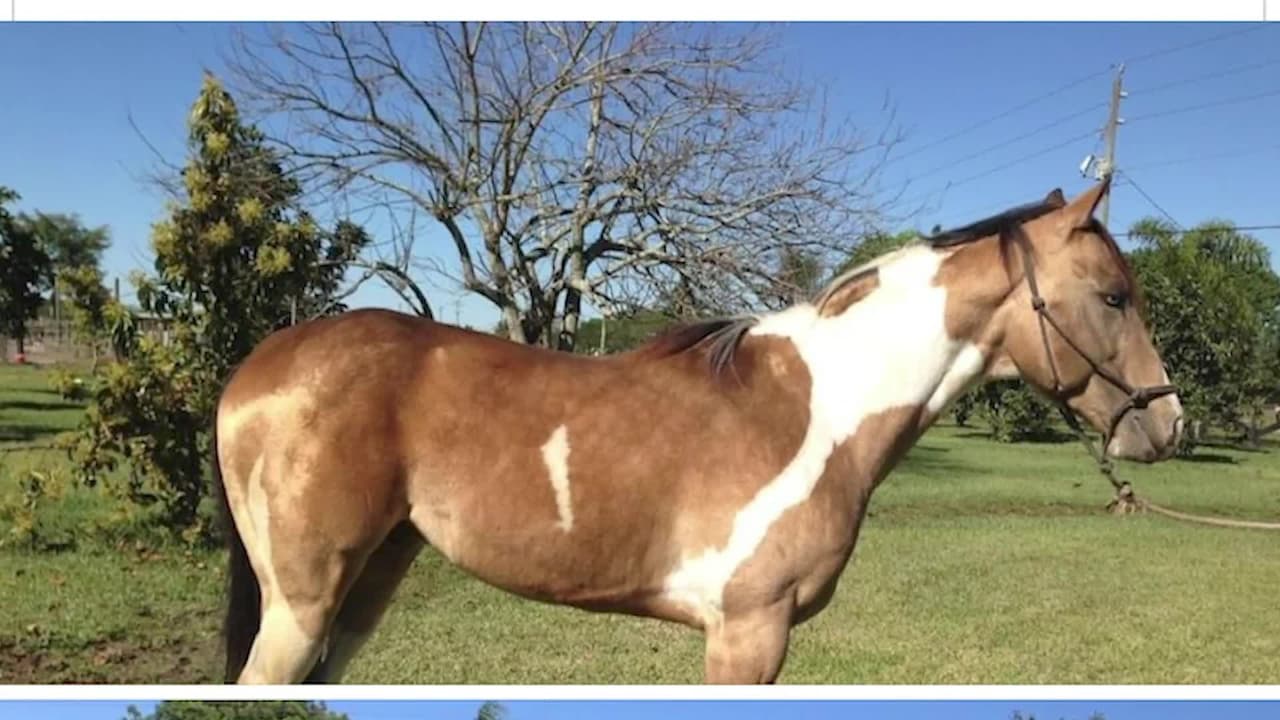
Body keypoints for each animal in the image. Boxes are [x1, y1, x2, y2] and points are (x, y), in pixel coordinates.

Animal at [213, 178, 1183, 684]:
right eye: (1113, 297)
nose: (1168, 421)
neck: (814, 409)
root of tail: (258, 368)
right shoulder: (747, 636)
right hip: (302, 604)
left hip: (363, 588)